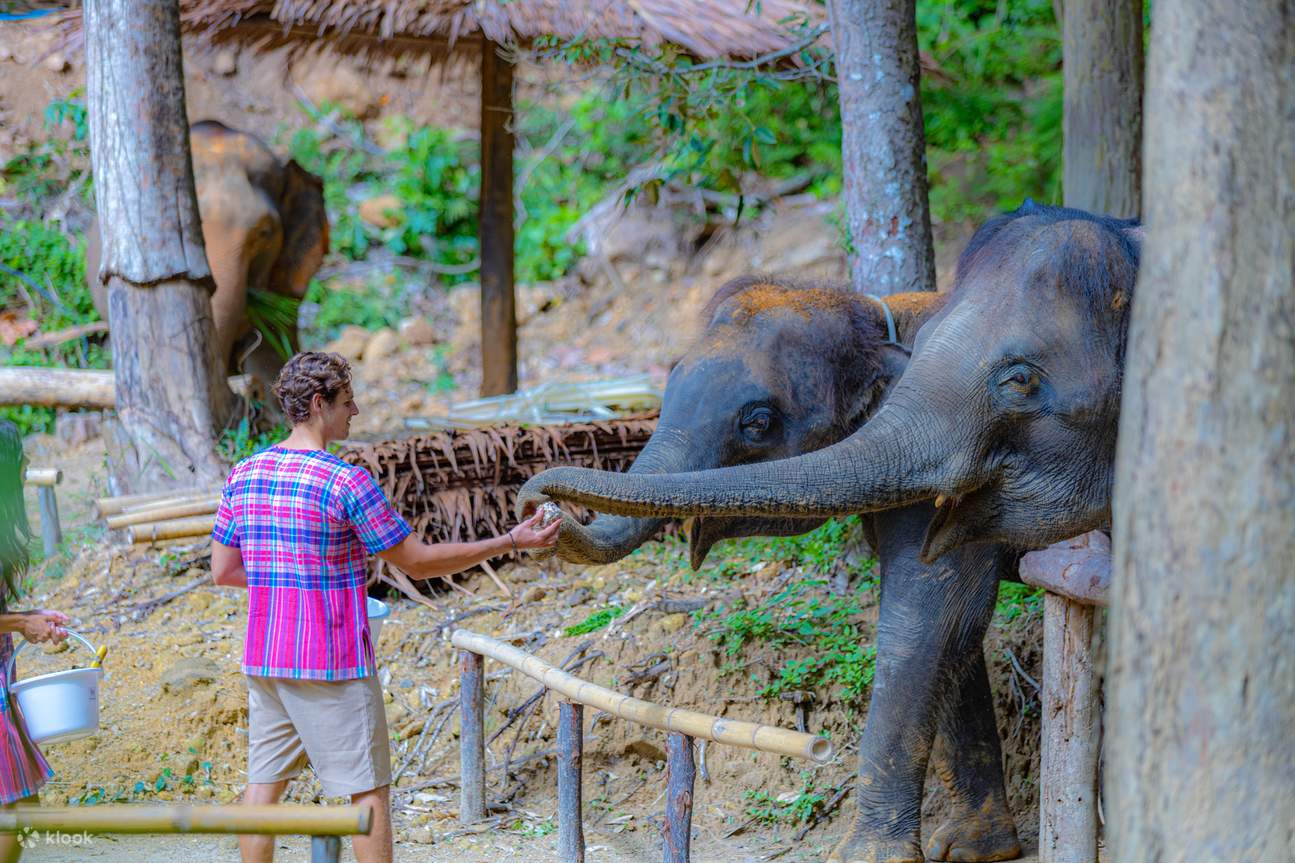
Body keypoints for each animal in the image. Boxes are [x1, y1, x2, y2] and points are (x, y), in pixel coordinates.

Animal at [528, 275, 1022, 862]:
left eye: (758, 422)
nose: (540, 502)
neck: (873, 315)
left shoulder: (954, 464)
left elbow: (934, 613)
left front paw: (867, 857)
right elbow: (956, 632)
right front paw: (975, 848)